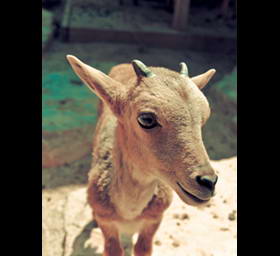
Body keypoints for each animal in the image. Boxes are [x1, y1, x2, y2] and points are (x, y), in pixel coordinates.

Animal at [66, 56, 218, 256]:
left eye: (205, 116)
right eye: (146, 119)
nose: (208, 182)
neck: (129, 212)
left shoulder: (154, 219)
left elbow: (143, 248)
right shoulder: (107, 222)